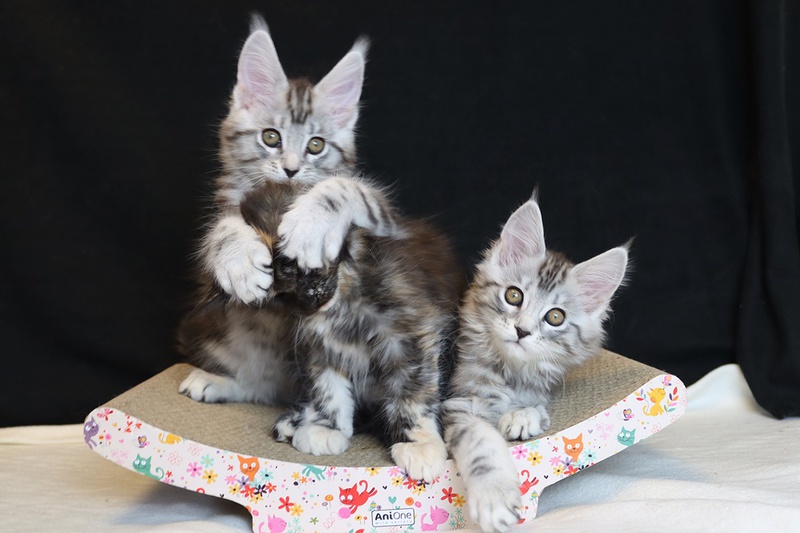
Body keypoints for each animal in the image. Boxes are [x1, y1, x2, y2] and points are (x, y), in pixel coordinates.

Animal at [443, 195, 629, 532]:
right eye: (514, 296)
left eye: (555, 316)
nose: (522, 330)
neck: (510, 372)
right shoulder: (460, 404)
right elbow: (481, 445)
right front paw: (494, 500)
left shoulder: (541, 388)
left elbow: (534, 406)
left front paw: (521, 417)